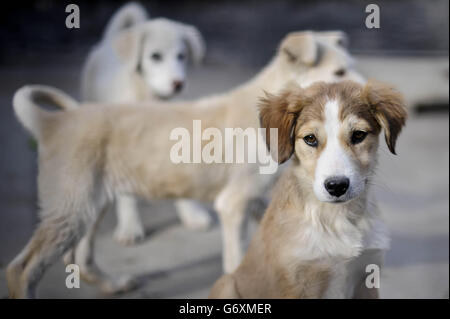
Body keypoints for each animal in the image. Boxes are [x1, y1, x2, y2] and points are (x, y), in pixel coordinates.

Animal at [210, 80, 408, 300]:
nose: (337, 186)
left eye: (358, 135)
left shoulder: (367, 279)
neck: (335, 218)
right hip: (226, 284)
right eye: (310, 138)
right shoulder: (296, 283)